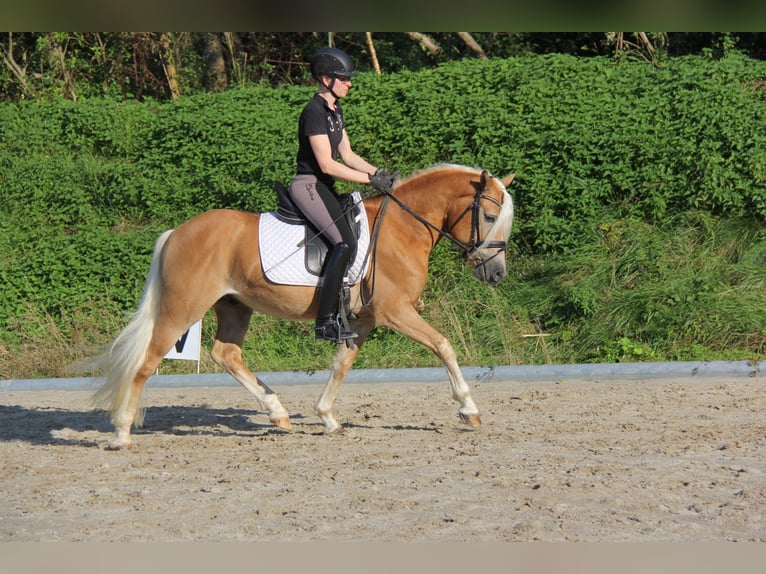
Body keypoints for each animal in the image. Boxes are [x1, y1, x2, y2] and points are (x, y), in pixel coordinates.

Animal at [93, 162, 520, 450]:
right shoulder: (395, 312)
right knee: (146, 364)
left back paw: (277, 412)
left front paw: (327, 417)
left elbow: (342, 364)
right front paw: (468, 409)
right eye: (489, 215)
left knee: (226, 354)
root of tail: (176, 232)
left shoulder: (363, 320)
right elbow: (443, 345)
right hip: (182, 309)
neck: (403, 227)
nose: (497, 273)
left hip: (234, 306)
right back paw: (121, 432)